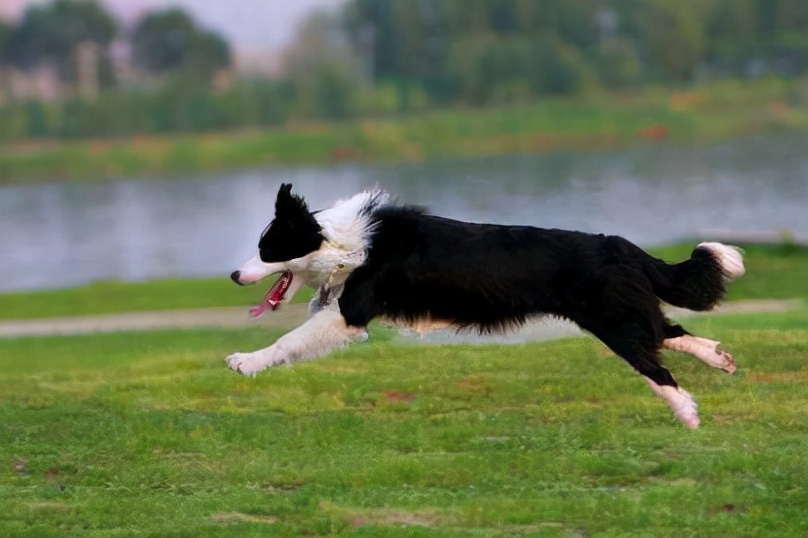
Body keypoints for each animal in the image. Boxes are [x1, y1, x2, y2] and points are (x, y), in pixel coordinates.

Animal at [227, 184, 744, 428]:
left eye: (266, 249)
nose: (232, 275)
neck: (340, 242)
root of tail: (622, 246)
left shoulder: (350, 312)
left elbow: (287, 340)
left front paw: (245, 361)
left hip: (613, 322)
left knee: (656, 363)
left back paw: (688, 414)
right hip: (623, 314)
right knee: (669, 333)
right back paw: (719, 359)